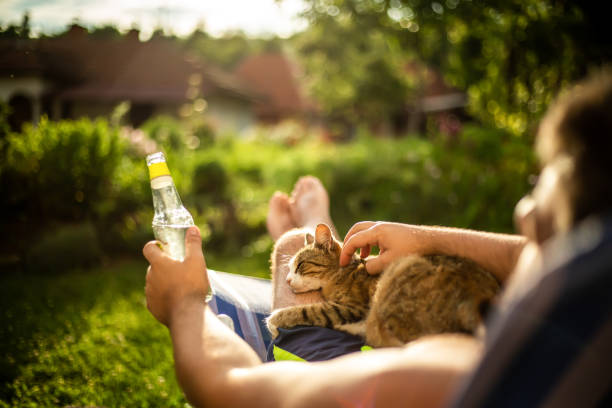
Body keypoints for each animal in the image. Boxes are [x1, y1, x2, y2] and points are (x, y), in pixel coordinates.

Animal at [268, 223, 502, 348]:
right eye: (289, 268)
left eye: (300, 265)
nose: (287, 280)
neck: (344, 273)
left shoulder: (352, 306)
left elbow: (308, 311)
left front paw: (274, 320)